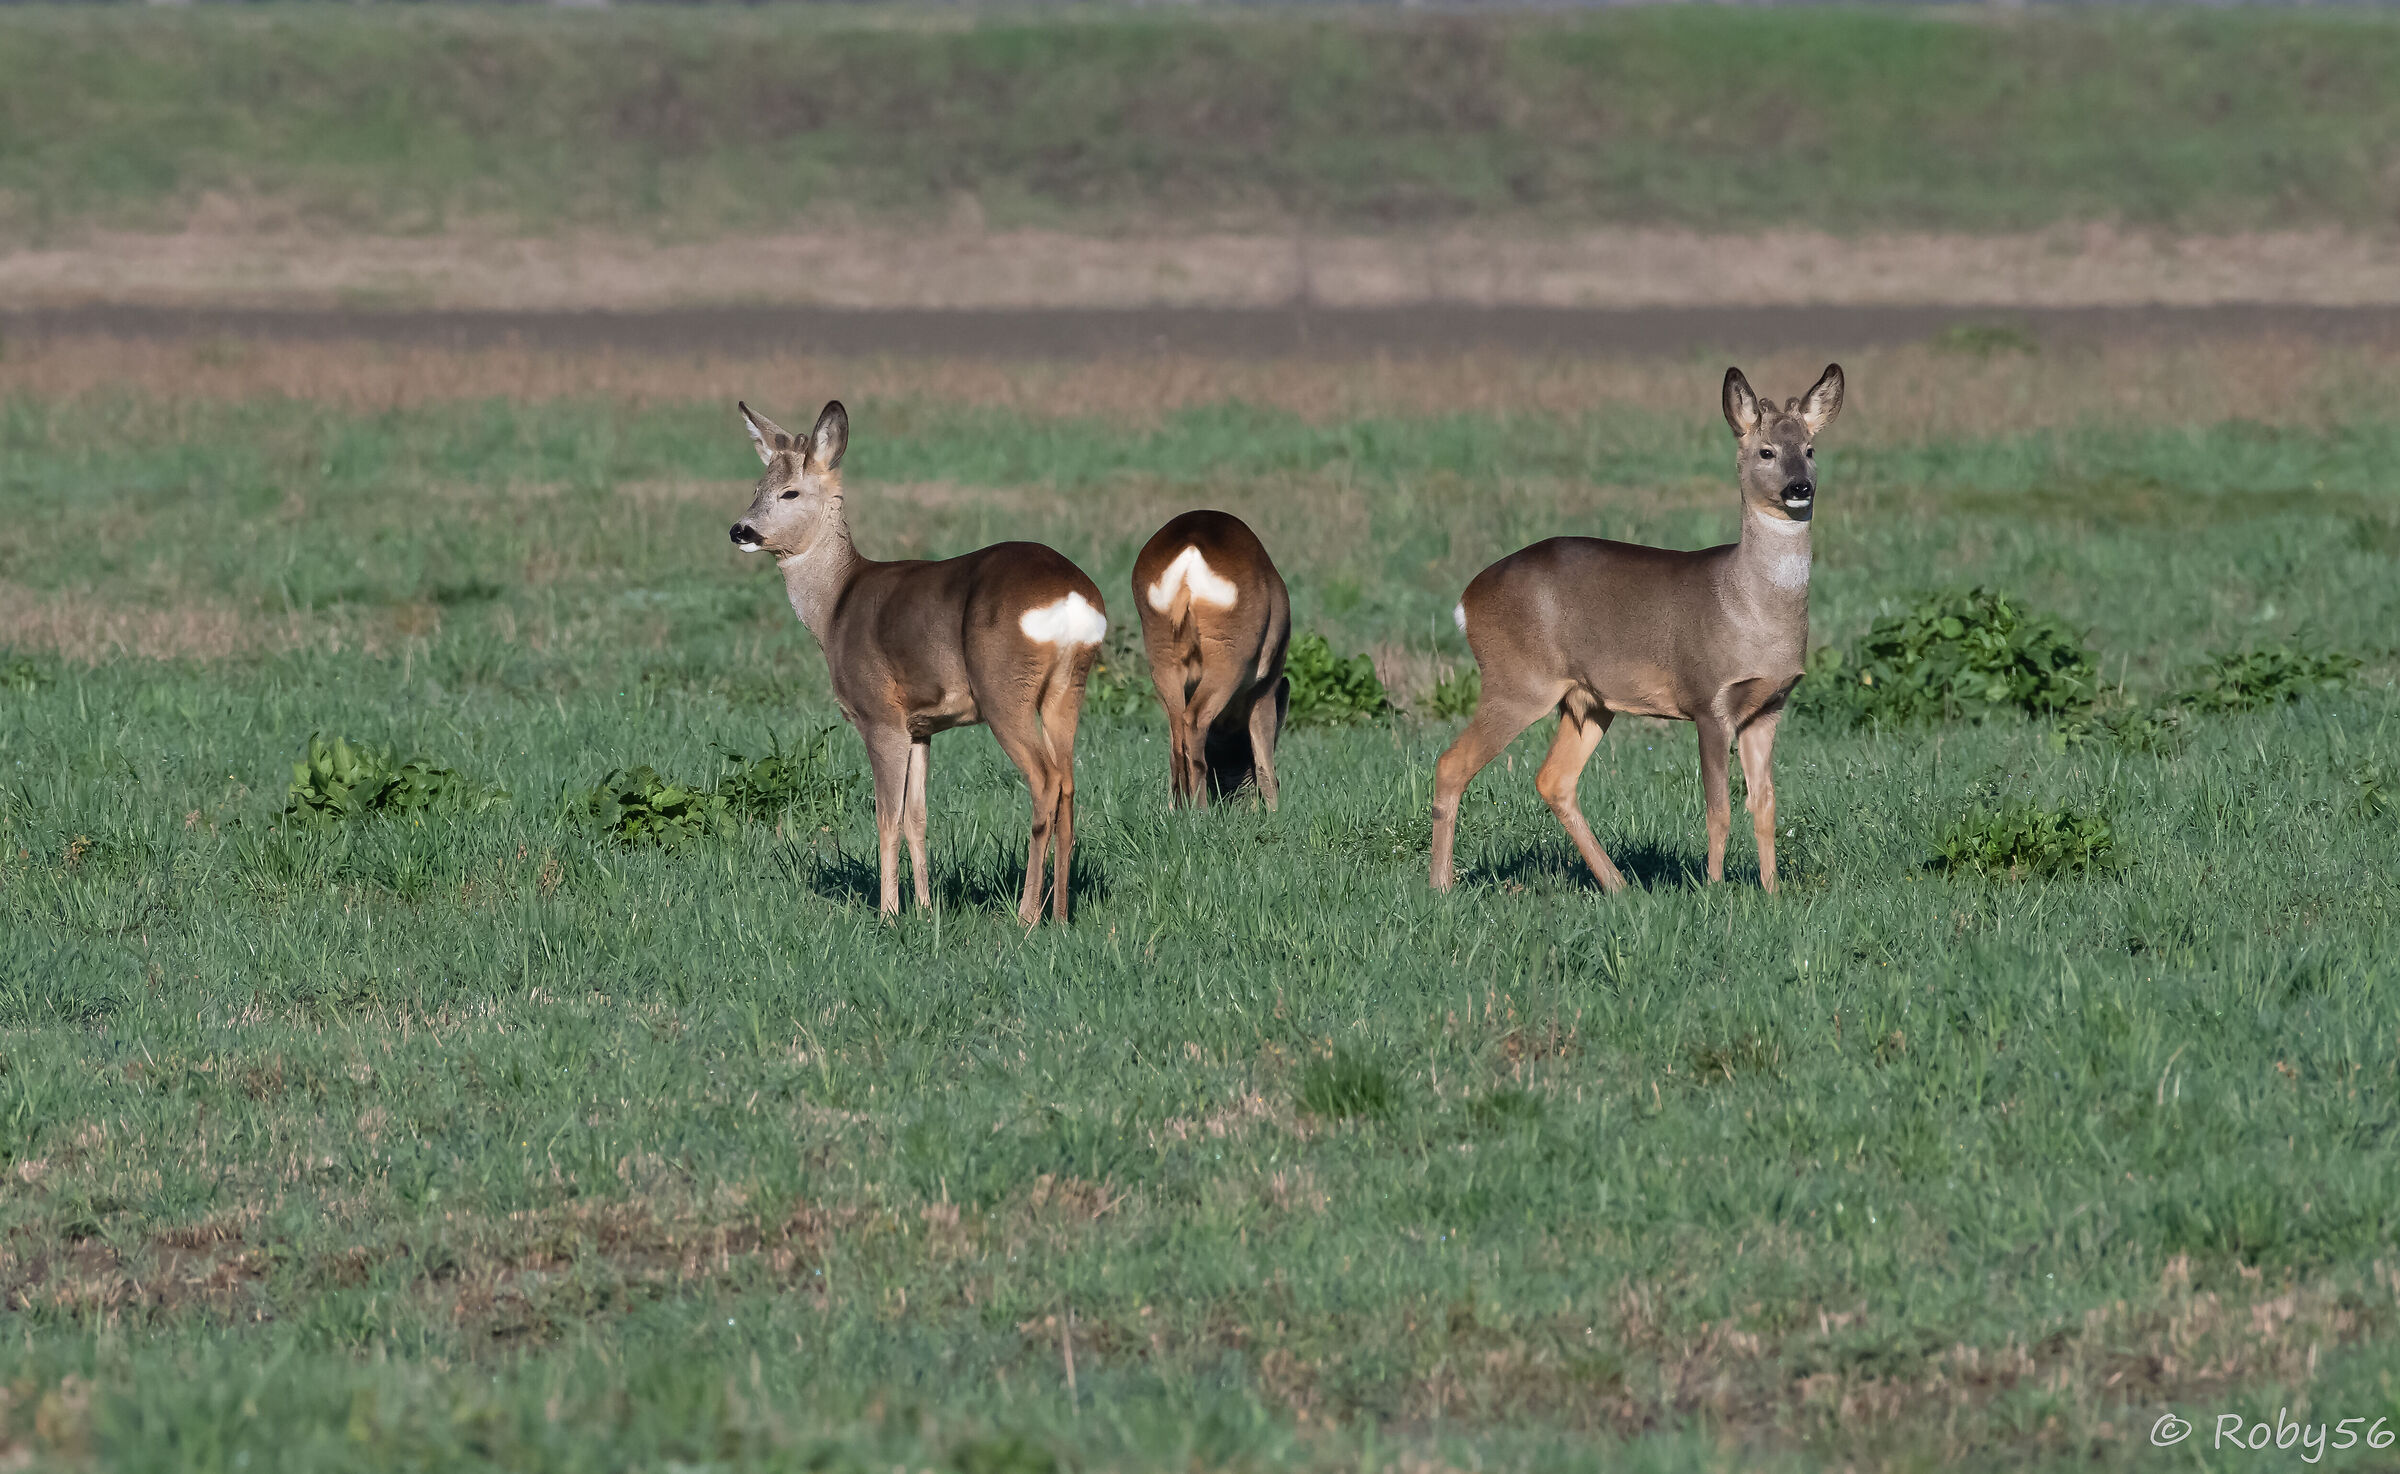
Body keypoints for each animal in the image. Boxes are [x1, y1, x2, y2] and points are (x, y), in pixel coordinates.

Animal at [727, 399, 1107, 924]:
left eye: (790, 491)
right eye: (756, 488)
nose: (740, 530)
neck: (835, 606)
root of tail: (1071, 596)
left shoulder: (879, 715)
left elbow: (886, 817)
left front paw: (888, 913)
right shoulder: (922, 725)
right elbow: (917, 817)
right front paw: (926, 908)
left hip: (1003, 689)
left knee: (1046, 781)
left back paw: (1027, 915)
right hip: (1068, 688)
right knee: (1068, 784)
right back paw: (1061, 913)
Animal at [1131, 510, 1292, 809]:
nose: (1240, 802)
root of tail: (1191, 552)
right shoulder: (1266, 686)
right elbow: (1265, 763)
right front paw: (1277, 812)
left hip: (1161, 656)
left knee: (1177, 735)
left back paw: (1179, 808)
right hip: (1228, 656)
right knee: (1194, 721)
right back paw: (1200, 811)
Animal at [1429, 364, 1845, 897]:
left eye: (1810, 449)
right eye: (1766, 451)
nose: (1799, 487)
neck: (1747, 604)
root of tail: (1467, 600)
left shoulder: (1768, 706)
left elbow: (1765, 804)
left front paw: (1771, 893)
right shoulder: (1708, 698)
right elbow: (1718, 808)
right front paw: (1714, 889)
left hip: (1587, 699)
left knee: (1554, 779)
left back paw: (1619, 886)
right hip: (1518, 681)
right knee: (1451, 763)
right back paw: (1441, 886)